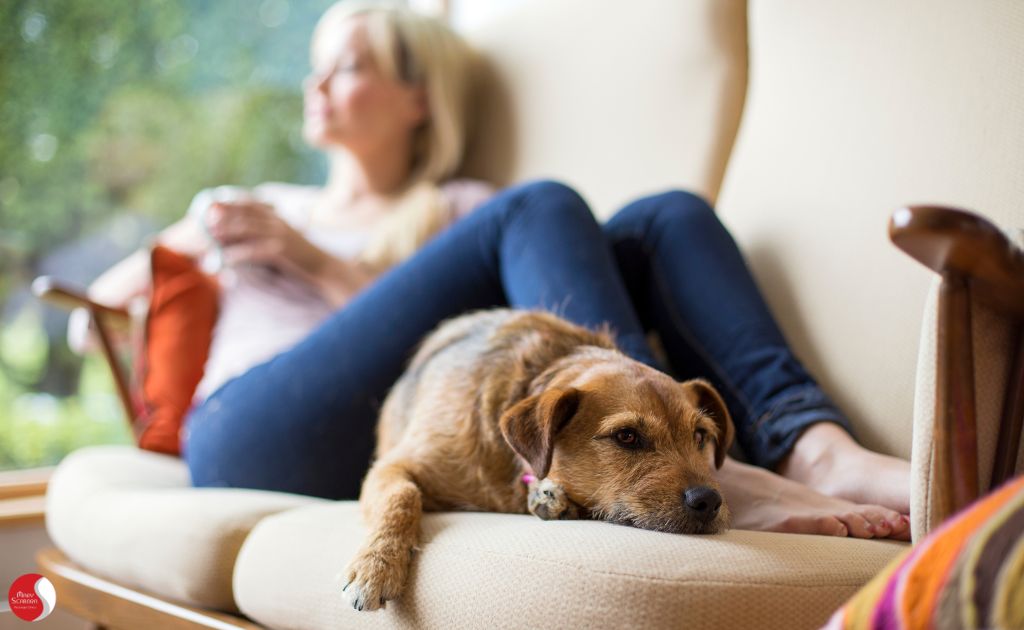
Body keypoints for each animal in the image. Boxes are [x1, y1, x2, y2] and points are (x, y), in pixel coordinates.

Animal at [346, 309, 737, 610]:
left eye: (699, 436)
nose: (708, 500)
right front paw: (377, 566)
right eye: (627, 436)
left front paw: (553, 498)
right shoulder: (392, 466)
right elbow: (403, 496)